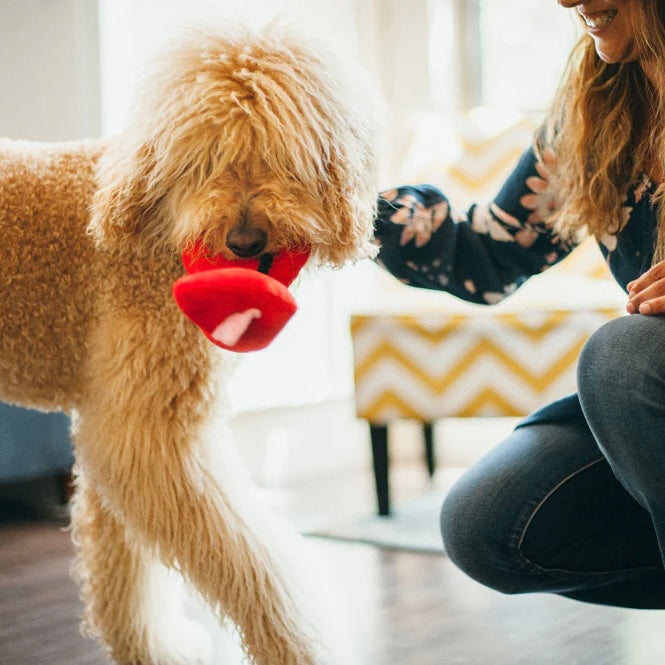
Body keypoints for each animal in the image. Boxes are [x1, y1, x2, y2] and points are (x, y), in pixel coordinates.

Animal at [0, 23, 378, 664]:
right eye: (204, 158)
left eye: (282, 155)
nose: (245, 239)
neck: (153, 234)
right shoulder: (150, 434)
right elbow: (255, 558)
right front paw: (303, 647)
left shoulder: (120, 422)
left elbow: (126, 571)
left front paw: (155, 649)